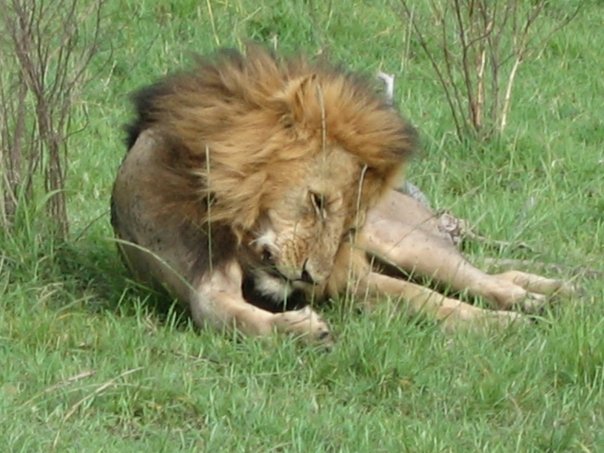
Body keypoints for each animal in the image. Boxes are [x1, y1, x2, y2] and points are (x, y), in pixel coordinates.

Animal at [111, 46, 572, 342]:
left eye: (349, 227)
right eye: (317, 202)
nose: (309, 277)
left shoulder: (351, 276)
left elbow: (426, 297)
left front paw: (503, 323)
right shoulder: (197, 278)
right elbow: (217, 312)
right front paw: (297, 330)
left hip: (407, 243)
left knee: (484, 277)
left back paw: (538, 297)